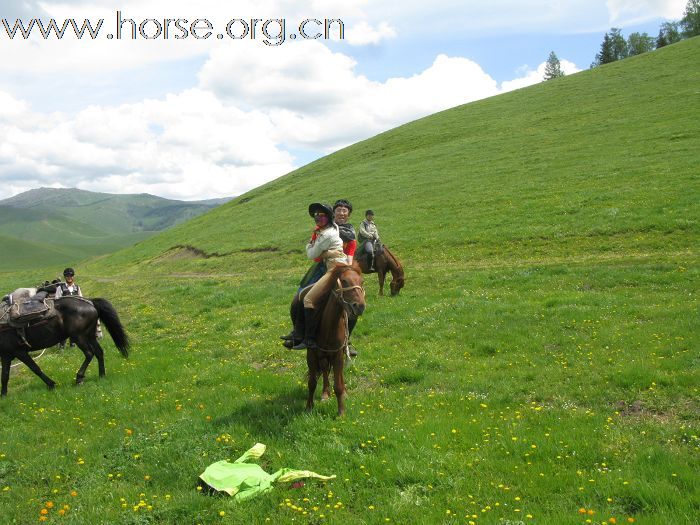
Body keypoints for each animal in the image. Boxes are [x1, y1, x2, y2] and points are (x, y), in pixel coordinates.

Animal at [304, 264, 366, 416]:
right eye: (344, 281)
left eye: (361, 282)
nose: (360, 306)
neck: (328, 327)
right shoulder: (311, 354)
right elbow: (312, 382)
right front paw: (309, 407)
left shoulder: (337, 354)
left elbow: (338, 385)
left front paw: (341, 411)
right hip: (322, 355)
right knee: (325, 369)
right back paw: (325, 393)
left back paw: (343, 392)